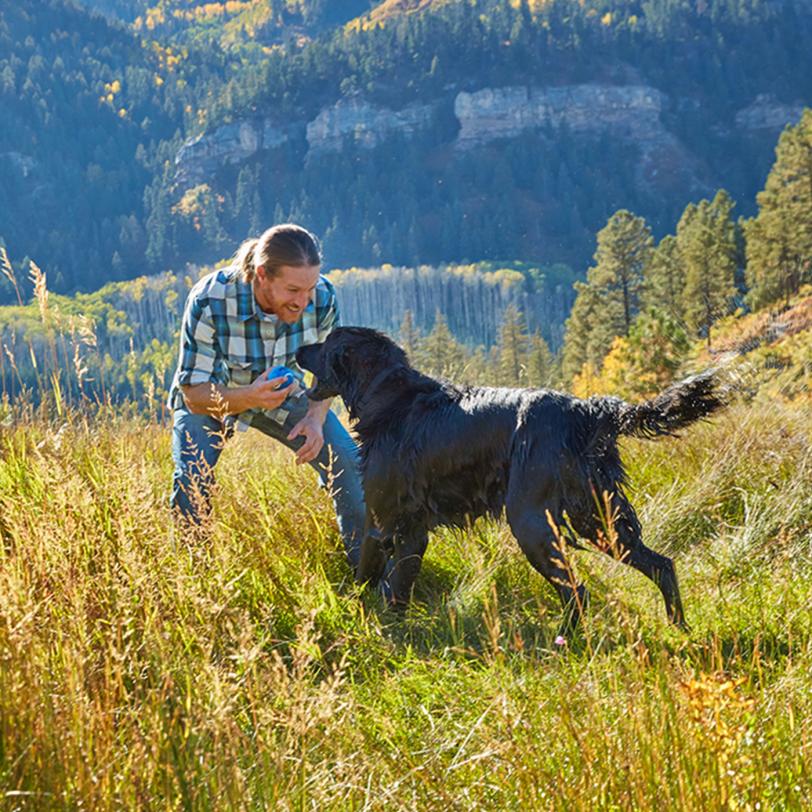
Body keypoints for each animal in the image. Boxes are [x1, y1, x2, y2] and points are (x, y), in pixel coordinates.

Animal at [296, 326, 724, 632]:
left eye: (325, 343)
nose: (298, 349)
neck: (391, 400)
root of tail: (584, 410)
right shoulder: (411, 532)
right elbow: (394, 585)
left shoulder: (383, 521)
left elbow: (372, 578)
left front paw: (366, 620)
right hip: (597, 517)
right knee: (661, 565)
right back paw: (680, 628)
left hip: (532, 521)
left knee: (577, 591)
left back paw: (565, 643)